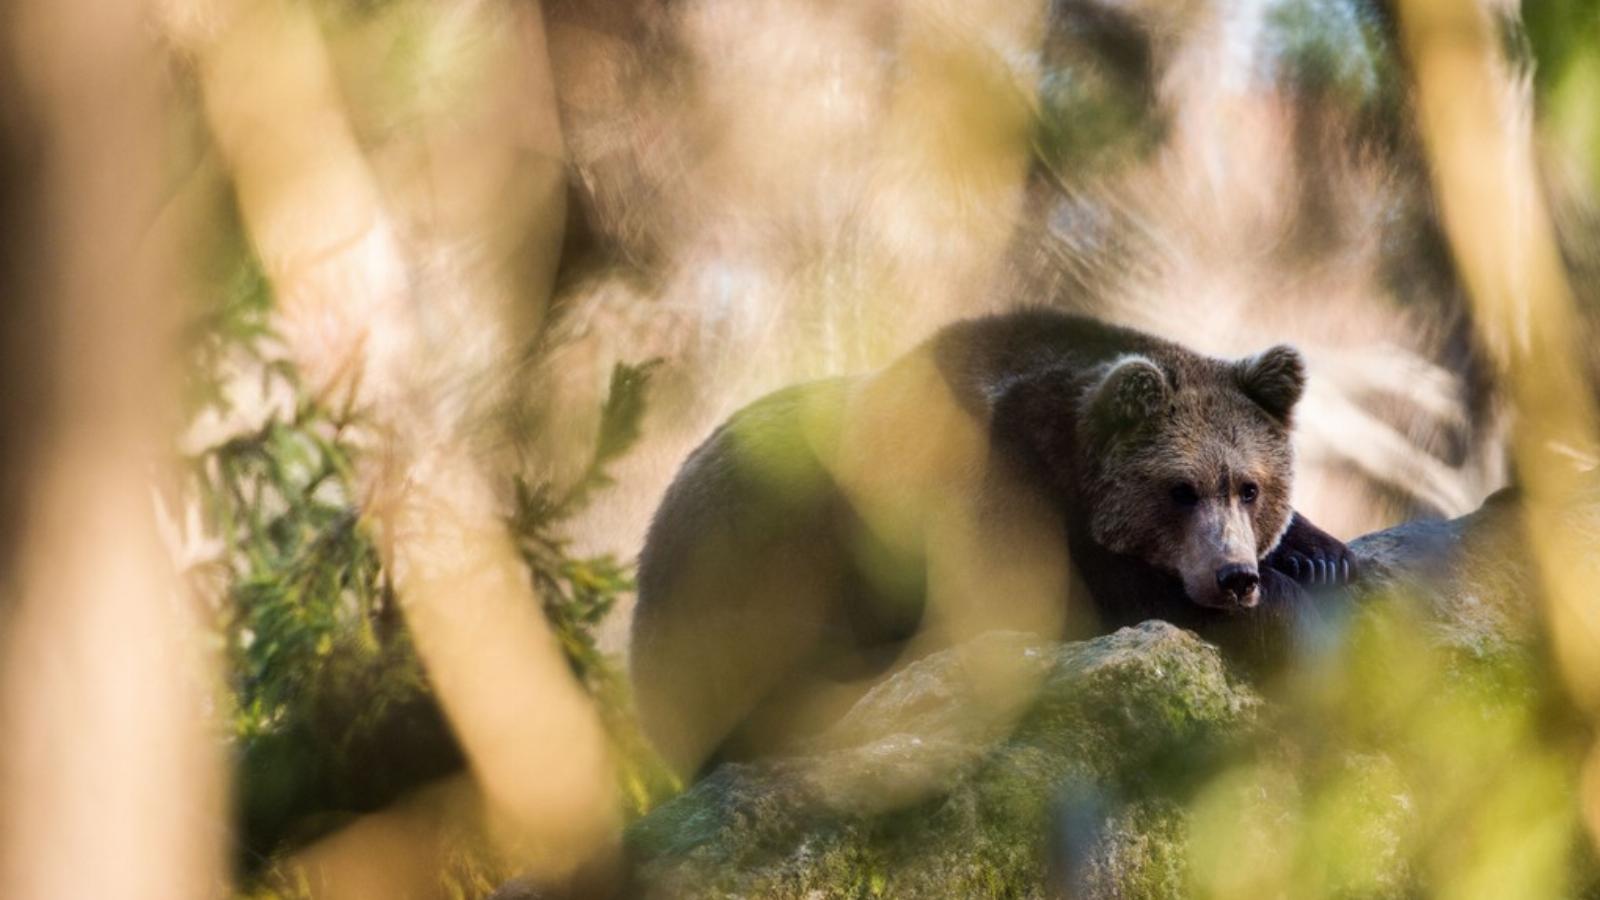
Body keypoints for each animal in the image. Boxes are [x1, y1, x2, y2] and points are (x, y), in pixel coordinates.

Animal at [630, 307, 1356, 771]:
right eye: (1180, 489)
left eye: (1249, 488)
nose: (1235, 577)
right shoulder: (984, 483)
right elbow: (1044, 606)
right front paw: (1294, 620)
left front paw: (1323, 557)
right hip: (751, 547)